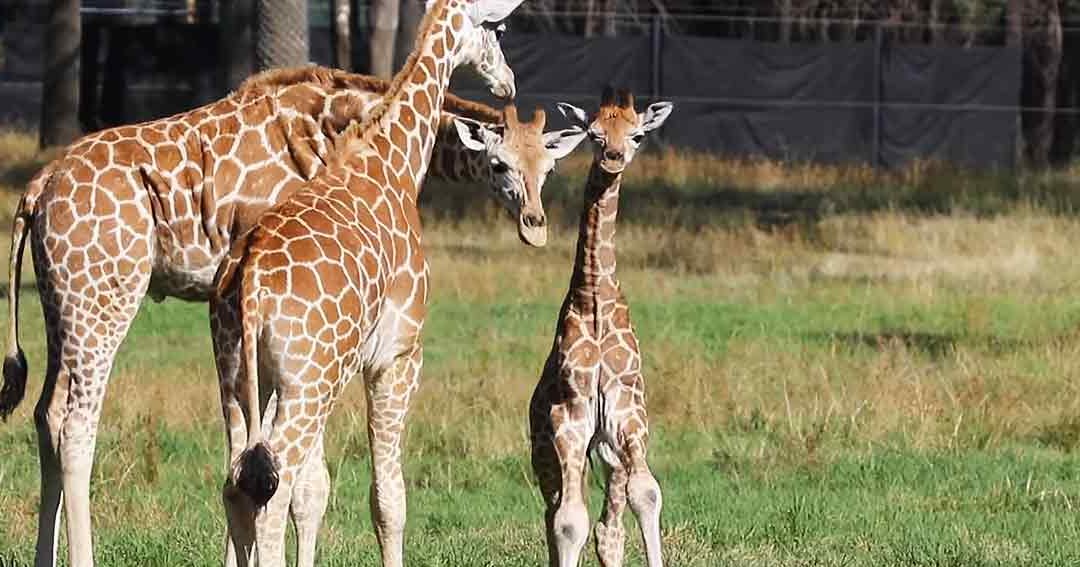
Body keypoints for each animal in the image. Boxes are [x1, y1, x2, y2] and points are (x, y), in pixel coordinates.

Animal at [0, 64, 559, 567]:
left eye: (545, 168)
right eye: (499, 164)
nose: (534, 223)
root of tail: (36, 189)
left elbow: (257, 461)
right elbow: (289, 475)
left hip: (61, 307)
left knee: (47, 415)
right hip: (104, 301)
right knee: (78, 426)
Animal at [209, 0, 533, 565]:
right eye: (495, 27)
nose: (507, 81)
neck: (394, 160)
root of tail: (249, 284)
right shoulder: (397, 354)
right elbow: (389, 497)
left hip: (237, 375)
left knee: (237, 483)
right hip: (309, 381)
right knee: (273, 487)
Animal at [528, 87, 673, 567]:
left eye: (638, 134)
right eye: (593, 133)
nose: (613, 157)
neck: (594, 301)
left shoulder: (628, 412)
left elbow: (646, 494)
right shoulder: (570, 418)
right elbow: (569, 522)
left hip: (608, 450)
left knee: (610, 526)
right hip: (545, 450)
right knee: (554, 512)